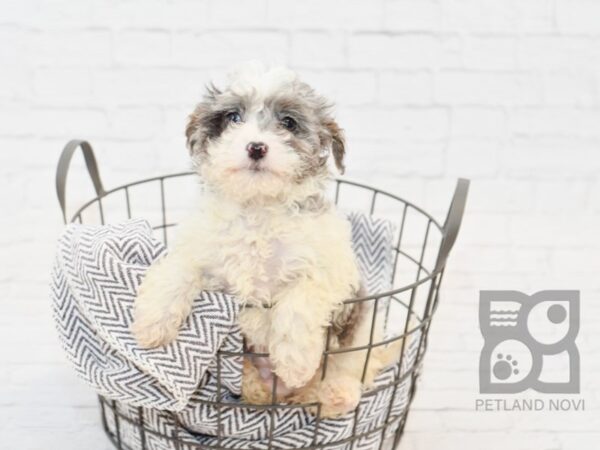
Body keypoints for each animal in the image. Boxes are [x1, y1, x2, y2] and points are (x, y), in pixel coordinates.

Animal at [133, 64, 396, 418]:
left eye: (288, 123)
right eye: (233, 117)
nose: (256, 147)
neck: (257, 208)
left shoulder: (332, 271)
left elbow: (299, 303)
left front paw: (295, 362)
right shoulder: (199, 249)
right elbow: (176, 271)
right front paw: (152, 325)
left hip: (362, 330)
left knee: (350, 369)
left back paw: (333, 393)